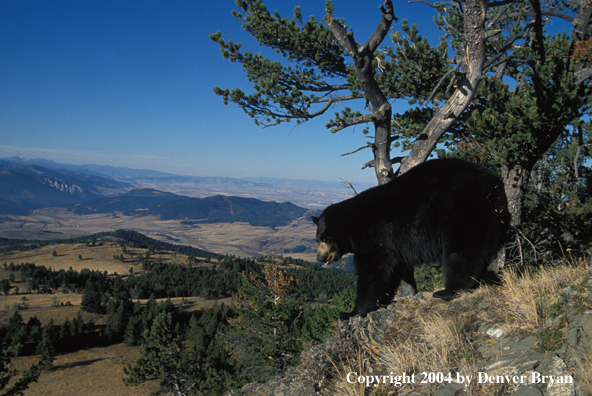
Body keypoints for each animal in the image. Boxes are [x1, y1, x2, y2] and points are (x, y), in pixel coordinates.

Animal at [312, 158, 512, 318]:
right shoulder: (392, 245)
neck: (358, 224)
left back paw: (448, 291)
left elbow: (374, 271)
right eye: (317, 239)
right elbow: (391, 272)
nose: (319, 258)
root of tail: (496, 186)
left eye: (327, 239)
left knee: (463, 251)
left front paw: (353, 312)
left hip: (464, 211)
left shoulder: (378, 235)